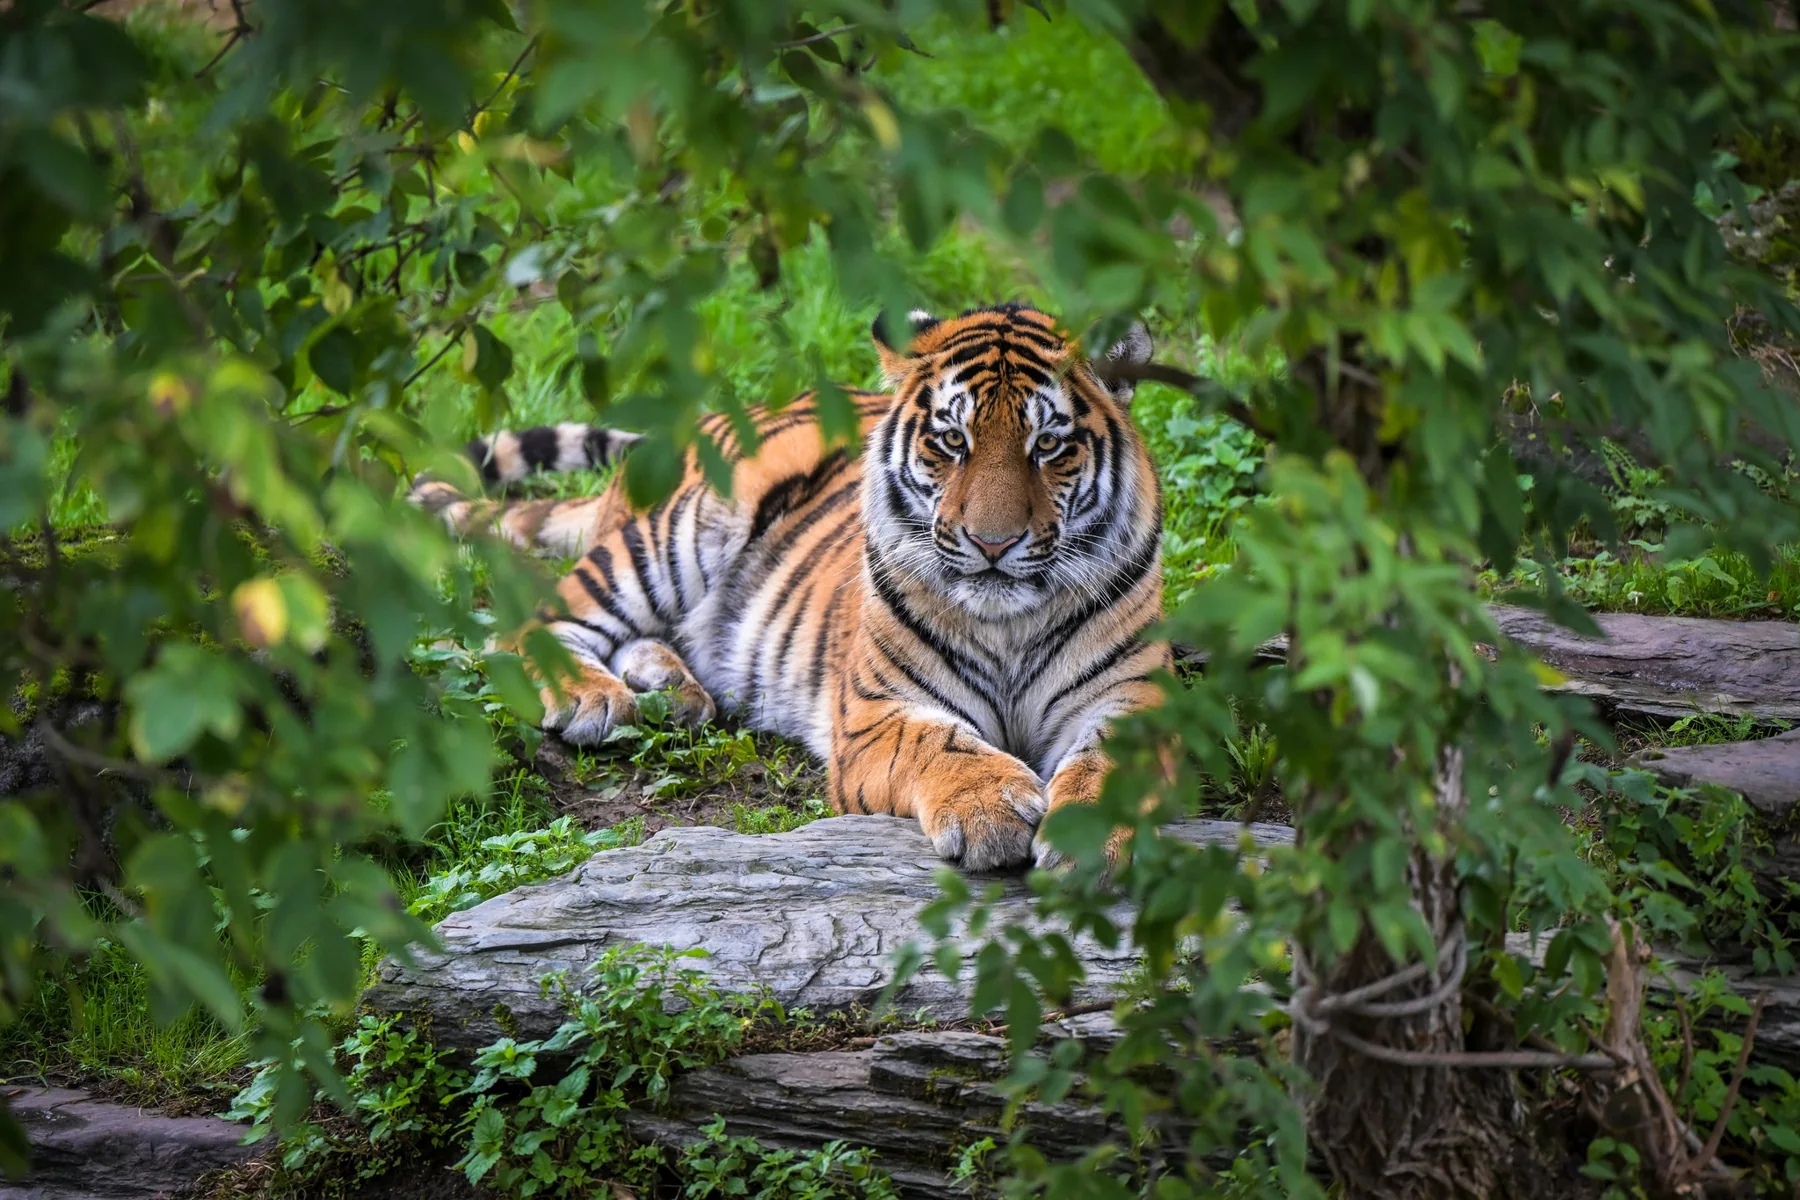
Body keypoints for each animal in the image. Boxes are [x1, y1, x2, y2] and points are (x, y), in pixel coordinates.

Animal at [410, 303, 1169, 871]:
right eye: (952, 441)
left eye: (1050, 446)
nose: (992, 543)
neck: (1009, 623)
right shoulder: (875, 714)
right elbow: (940, 745)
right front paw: (991, 807)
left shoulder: (1134, 698)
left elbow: (1112, 765)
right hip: (674, 537)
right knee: (533, 625)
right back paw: (594, 697)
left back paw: (673, 691)